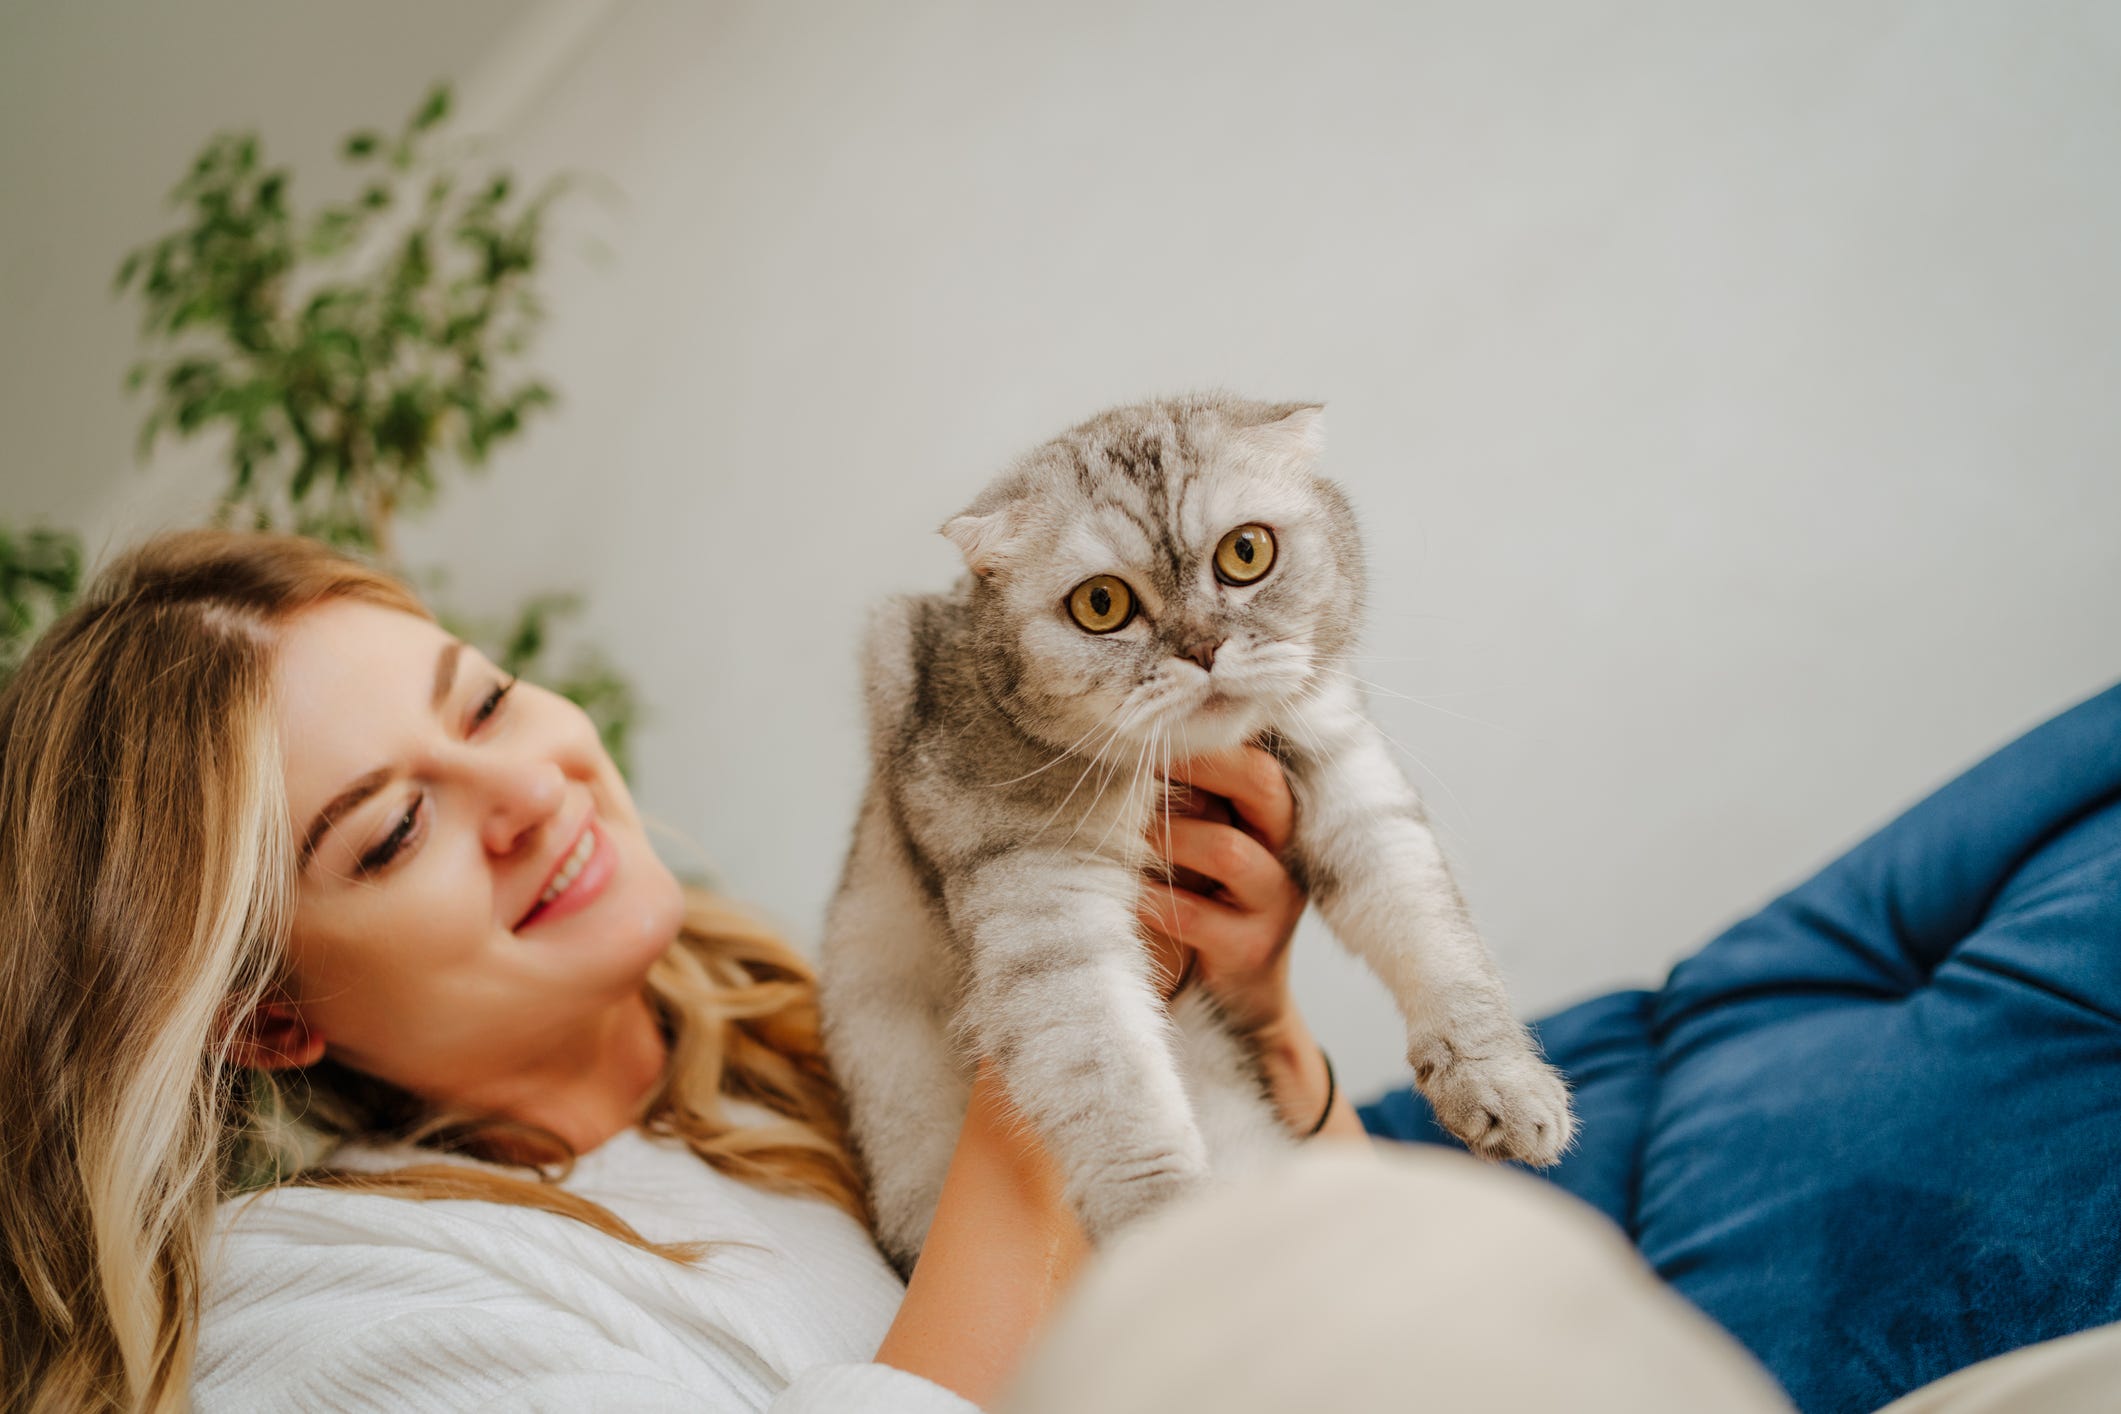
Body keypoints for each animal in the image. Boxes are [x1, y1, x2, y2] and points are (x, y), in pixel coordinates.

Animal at [818, 392, 1569, 1263]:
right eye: (1100, 605)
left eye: (1246, 553)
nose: (1204, 647)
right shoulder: (1041, 895)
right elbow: (1109, 1078)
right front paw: (1160, 1225)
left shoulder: (1350, 782)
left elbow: (1437, 944)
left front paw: (1501, 1083)